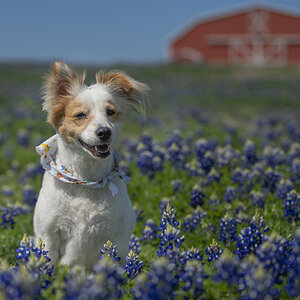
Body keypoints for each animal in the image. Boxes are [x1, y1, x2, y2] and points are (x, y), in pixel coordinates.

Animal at [33, 61, 149, 270]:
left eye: (110, 112)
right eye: (80, 115)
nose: (104, 132)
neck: (86, 179)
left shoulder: (115, 239)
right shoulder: (48, 236)